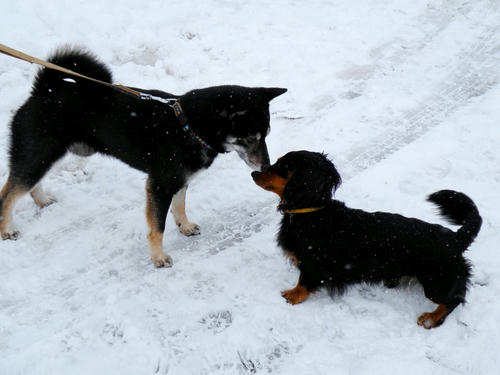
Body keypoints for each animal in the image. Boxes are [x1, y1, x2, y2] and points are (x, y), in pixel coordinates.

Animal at [0, 48, 288, 268]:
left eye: (266, 135)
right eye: (250, 138)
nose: (265, 166)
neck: (188, 126)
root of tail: (44, 90)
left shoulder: (179, 180)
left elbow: (180, 206)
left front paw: (184, 226)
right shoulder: (160, 185)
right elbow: (158, 226)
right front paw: (158, 257)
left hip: (47, 155)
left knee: (27, 184)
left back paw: (41, 200)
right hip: (40, 154)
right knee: (9, 193)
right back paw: (6, 229)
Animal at [252, 151, 482, 330]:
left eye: (282, 166)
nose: (254, 172)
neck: (313, 212)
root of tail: (455, 238)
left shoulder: (311, 265)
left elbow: (303, 282)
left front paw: (292, 296)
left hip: (436, 284)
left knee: (455, 299)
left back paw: (431, 319)